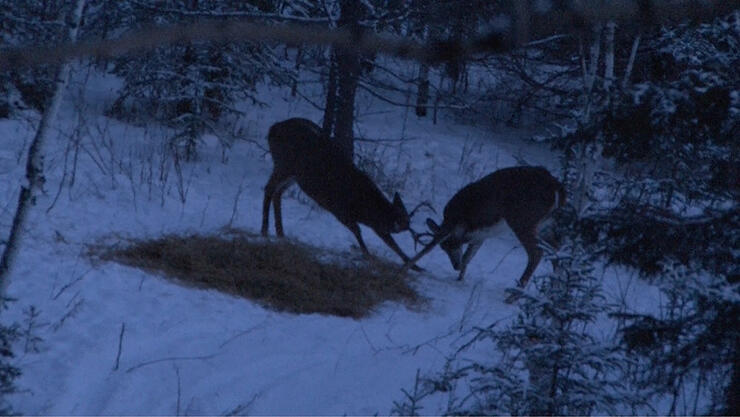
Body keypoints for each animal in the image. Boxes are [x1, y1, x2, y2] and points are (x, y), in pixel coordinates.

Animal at [261, 117, 423, 269]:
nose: (410, 228)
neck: (364, 207)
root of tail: (272, 129)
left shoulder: (368, 222)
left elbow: (391, 243)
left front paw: (416, 266)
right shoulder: (340, 210)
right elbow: (358, 231)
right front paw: (367, 254)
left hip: (293, 174)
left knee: (277, 192)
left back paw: (280, 233)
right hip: (285, 163)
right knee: (269, 188)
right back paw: (265, 230)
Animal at [402, 166, 566, 302]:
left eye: (447, 246)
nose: (455, 265)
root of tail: (557, 188)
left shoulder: (453, 224)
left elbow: (429, 247)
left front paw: (406, 267)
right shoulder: (480, 236)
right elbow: (468, 257)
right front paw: (459, 279)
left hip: (522, 220)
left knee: (537, 252)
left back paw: (513, 296)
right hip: (546, 225)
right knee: (556, 250)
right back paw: (553, 293)